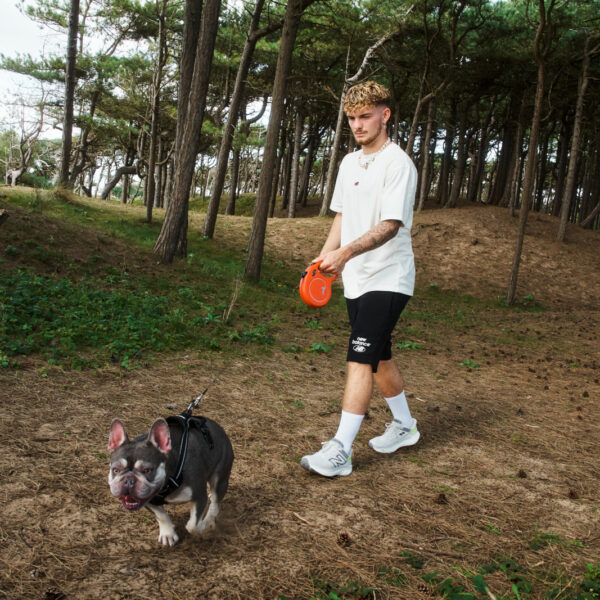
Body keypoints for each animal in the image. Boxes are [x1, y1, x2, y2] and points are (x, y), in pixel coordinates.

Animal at [106, 414, 233, 548]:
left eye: (147, 470)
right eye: (115, 470)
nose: (129, 480)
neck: (166, 483)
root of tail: (216, 426)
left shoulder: (199, 496)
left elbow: (193, 525)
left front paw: (201, 526)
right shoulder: (149, 501)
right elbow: (161, 516)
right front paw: (168, 533)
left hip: (220, 477)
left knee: (215, 501)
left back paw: (208, 521)